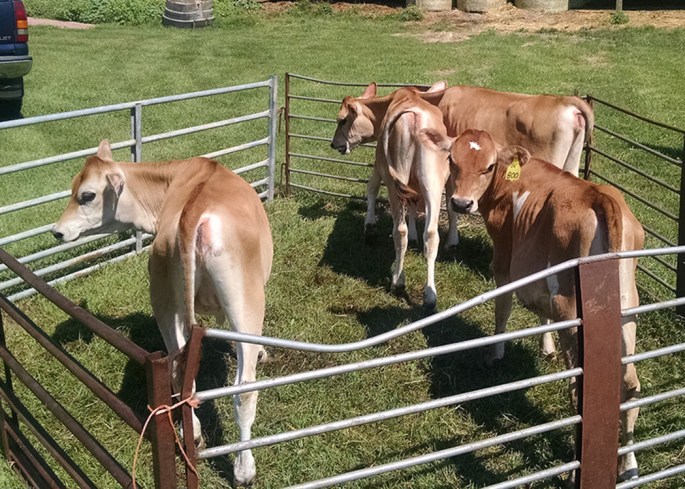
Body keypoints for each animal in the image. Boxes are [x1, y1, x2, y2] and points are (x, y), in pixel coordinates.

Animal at [52, 140, 273, 487]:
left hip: (165, 299)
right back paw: (243, 470)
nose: (57, 232)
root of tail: (194, 210)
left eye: (86, 194)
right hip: (246, 300)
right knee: (244, 389)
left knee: (178, 372)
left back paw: (192, 434)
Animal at [376, 88, 451, 313]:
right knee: (431, 233)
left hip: (396, 180)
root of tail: (413, 113)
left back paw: (399, 282)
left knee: (400, 230)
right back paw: (427, 294)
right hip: (432, 180)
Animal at [416, 128, 643, 482]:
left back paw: (574, 471)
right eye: (452, 160)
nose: (461, 202)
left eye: (488, 166)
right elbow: (542, 315)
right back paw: (629, 465)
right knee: (630, 385)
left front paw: (495, 354)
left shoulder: (504, 256)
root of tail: (599, 195)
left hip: (573, 309)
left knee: (580, 389)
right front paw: (546, 348)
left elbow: (502, 307)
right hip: (626, 310)